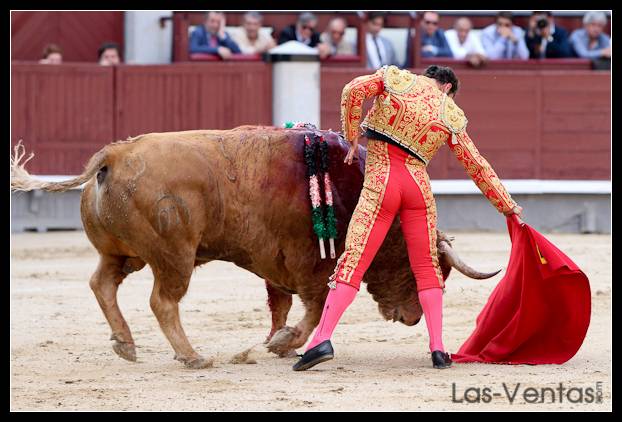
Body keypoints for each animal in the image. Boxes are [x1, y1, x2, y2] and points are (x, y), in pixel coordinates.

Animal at [10, 126, 499, 368]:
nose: (414, 316)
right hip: (174, 257)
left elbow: (282, 306)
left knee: (102, 283)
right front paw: (284, 345)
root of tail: (114, 154)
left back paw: (125, 344)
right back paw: (192, 357)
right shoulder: (311, 267)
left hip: (122, 253)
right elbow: (313, 310)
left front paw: (275, 343)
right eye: (431, 267)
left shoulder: (279, 269)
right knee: (163, 301)